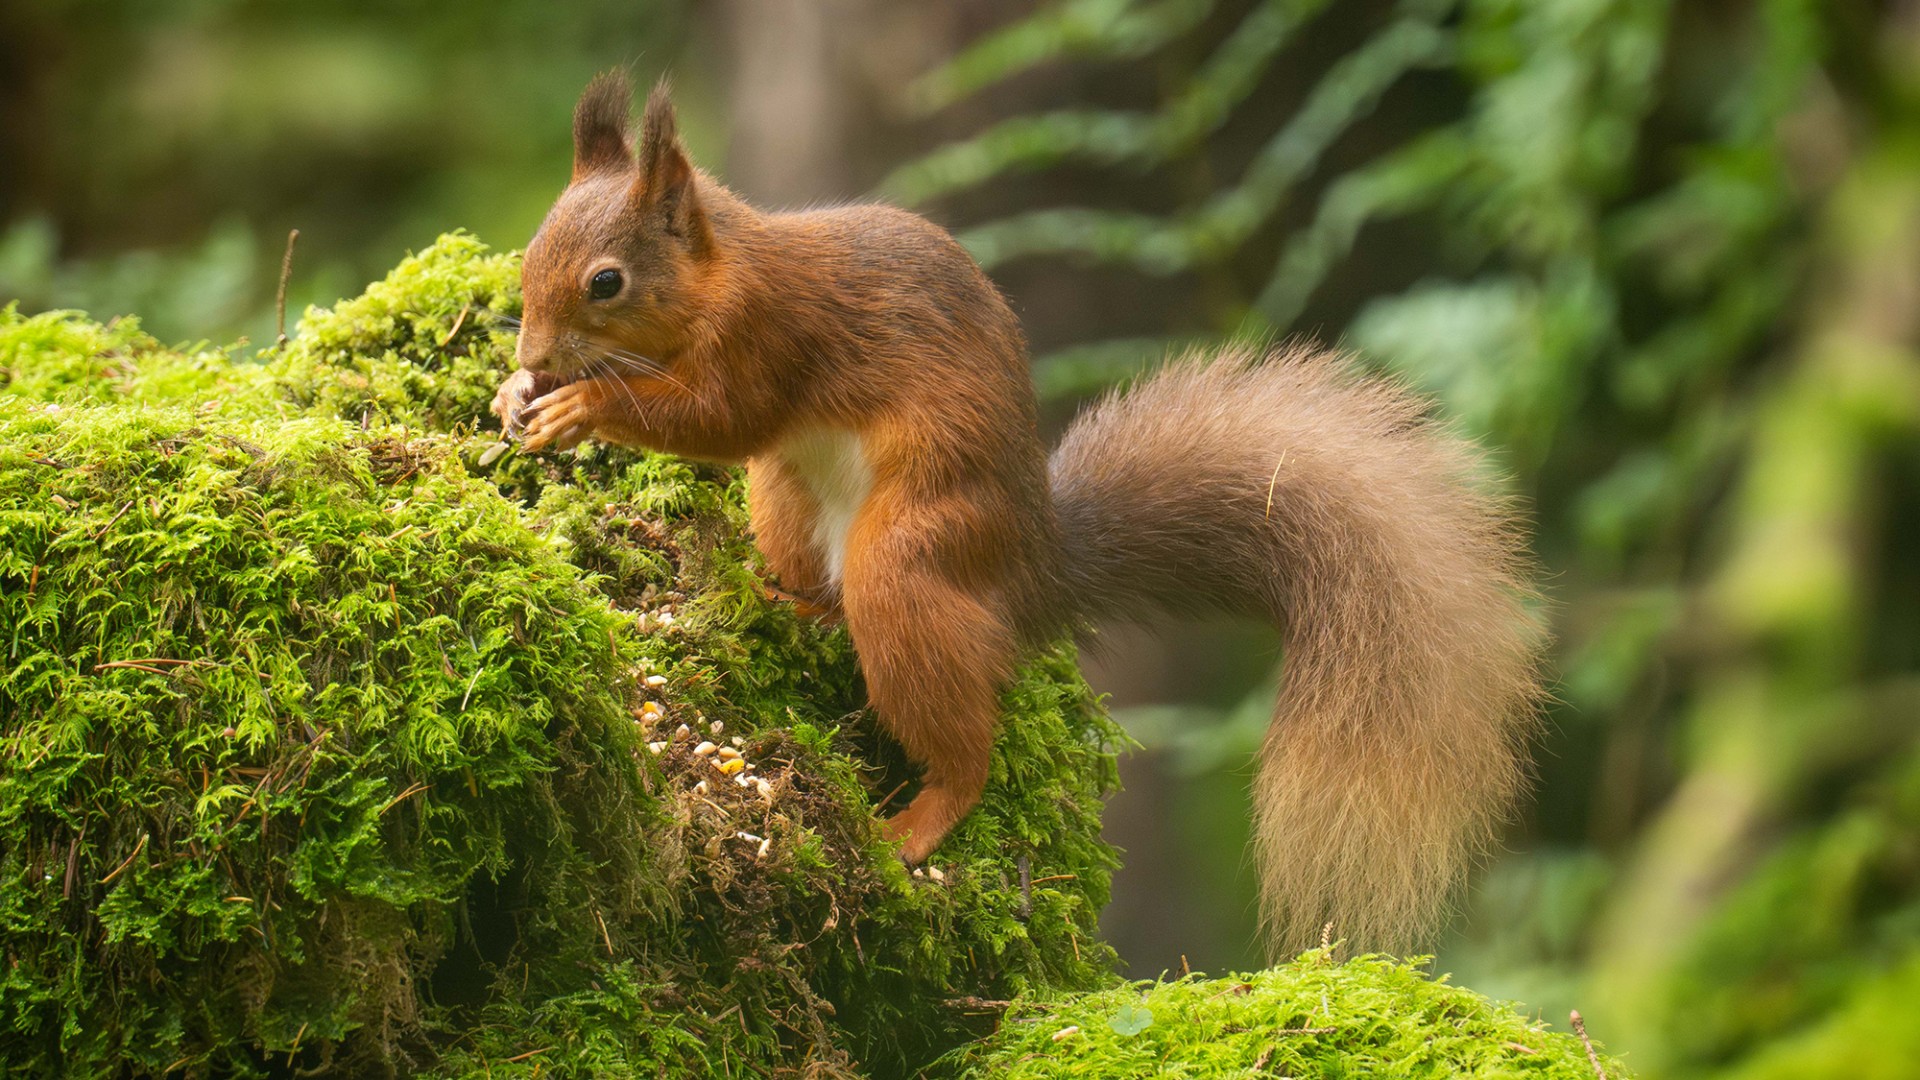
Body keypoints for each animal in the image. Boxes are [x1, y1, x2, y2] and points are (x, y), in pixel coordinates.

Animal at [491, 72, 1542, 951]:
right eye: (533, 252)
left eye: (606, 281)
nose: (537, 353)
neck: (719, 276)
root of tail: (1031, 567)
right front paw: (514, 391)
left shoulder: (773, 336)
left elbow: (718, 417)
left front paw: (583, 405)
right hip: (784, 496)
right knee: (817, 584)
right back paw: (787, 605)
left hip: (915, 553)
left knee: (962, 739)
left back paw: (916, 824)